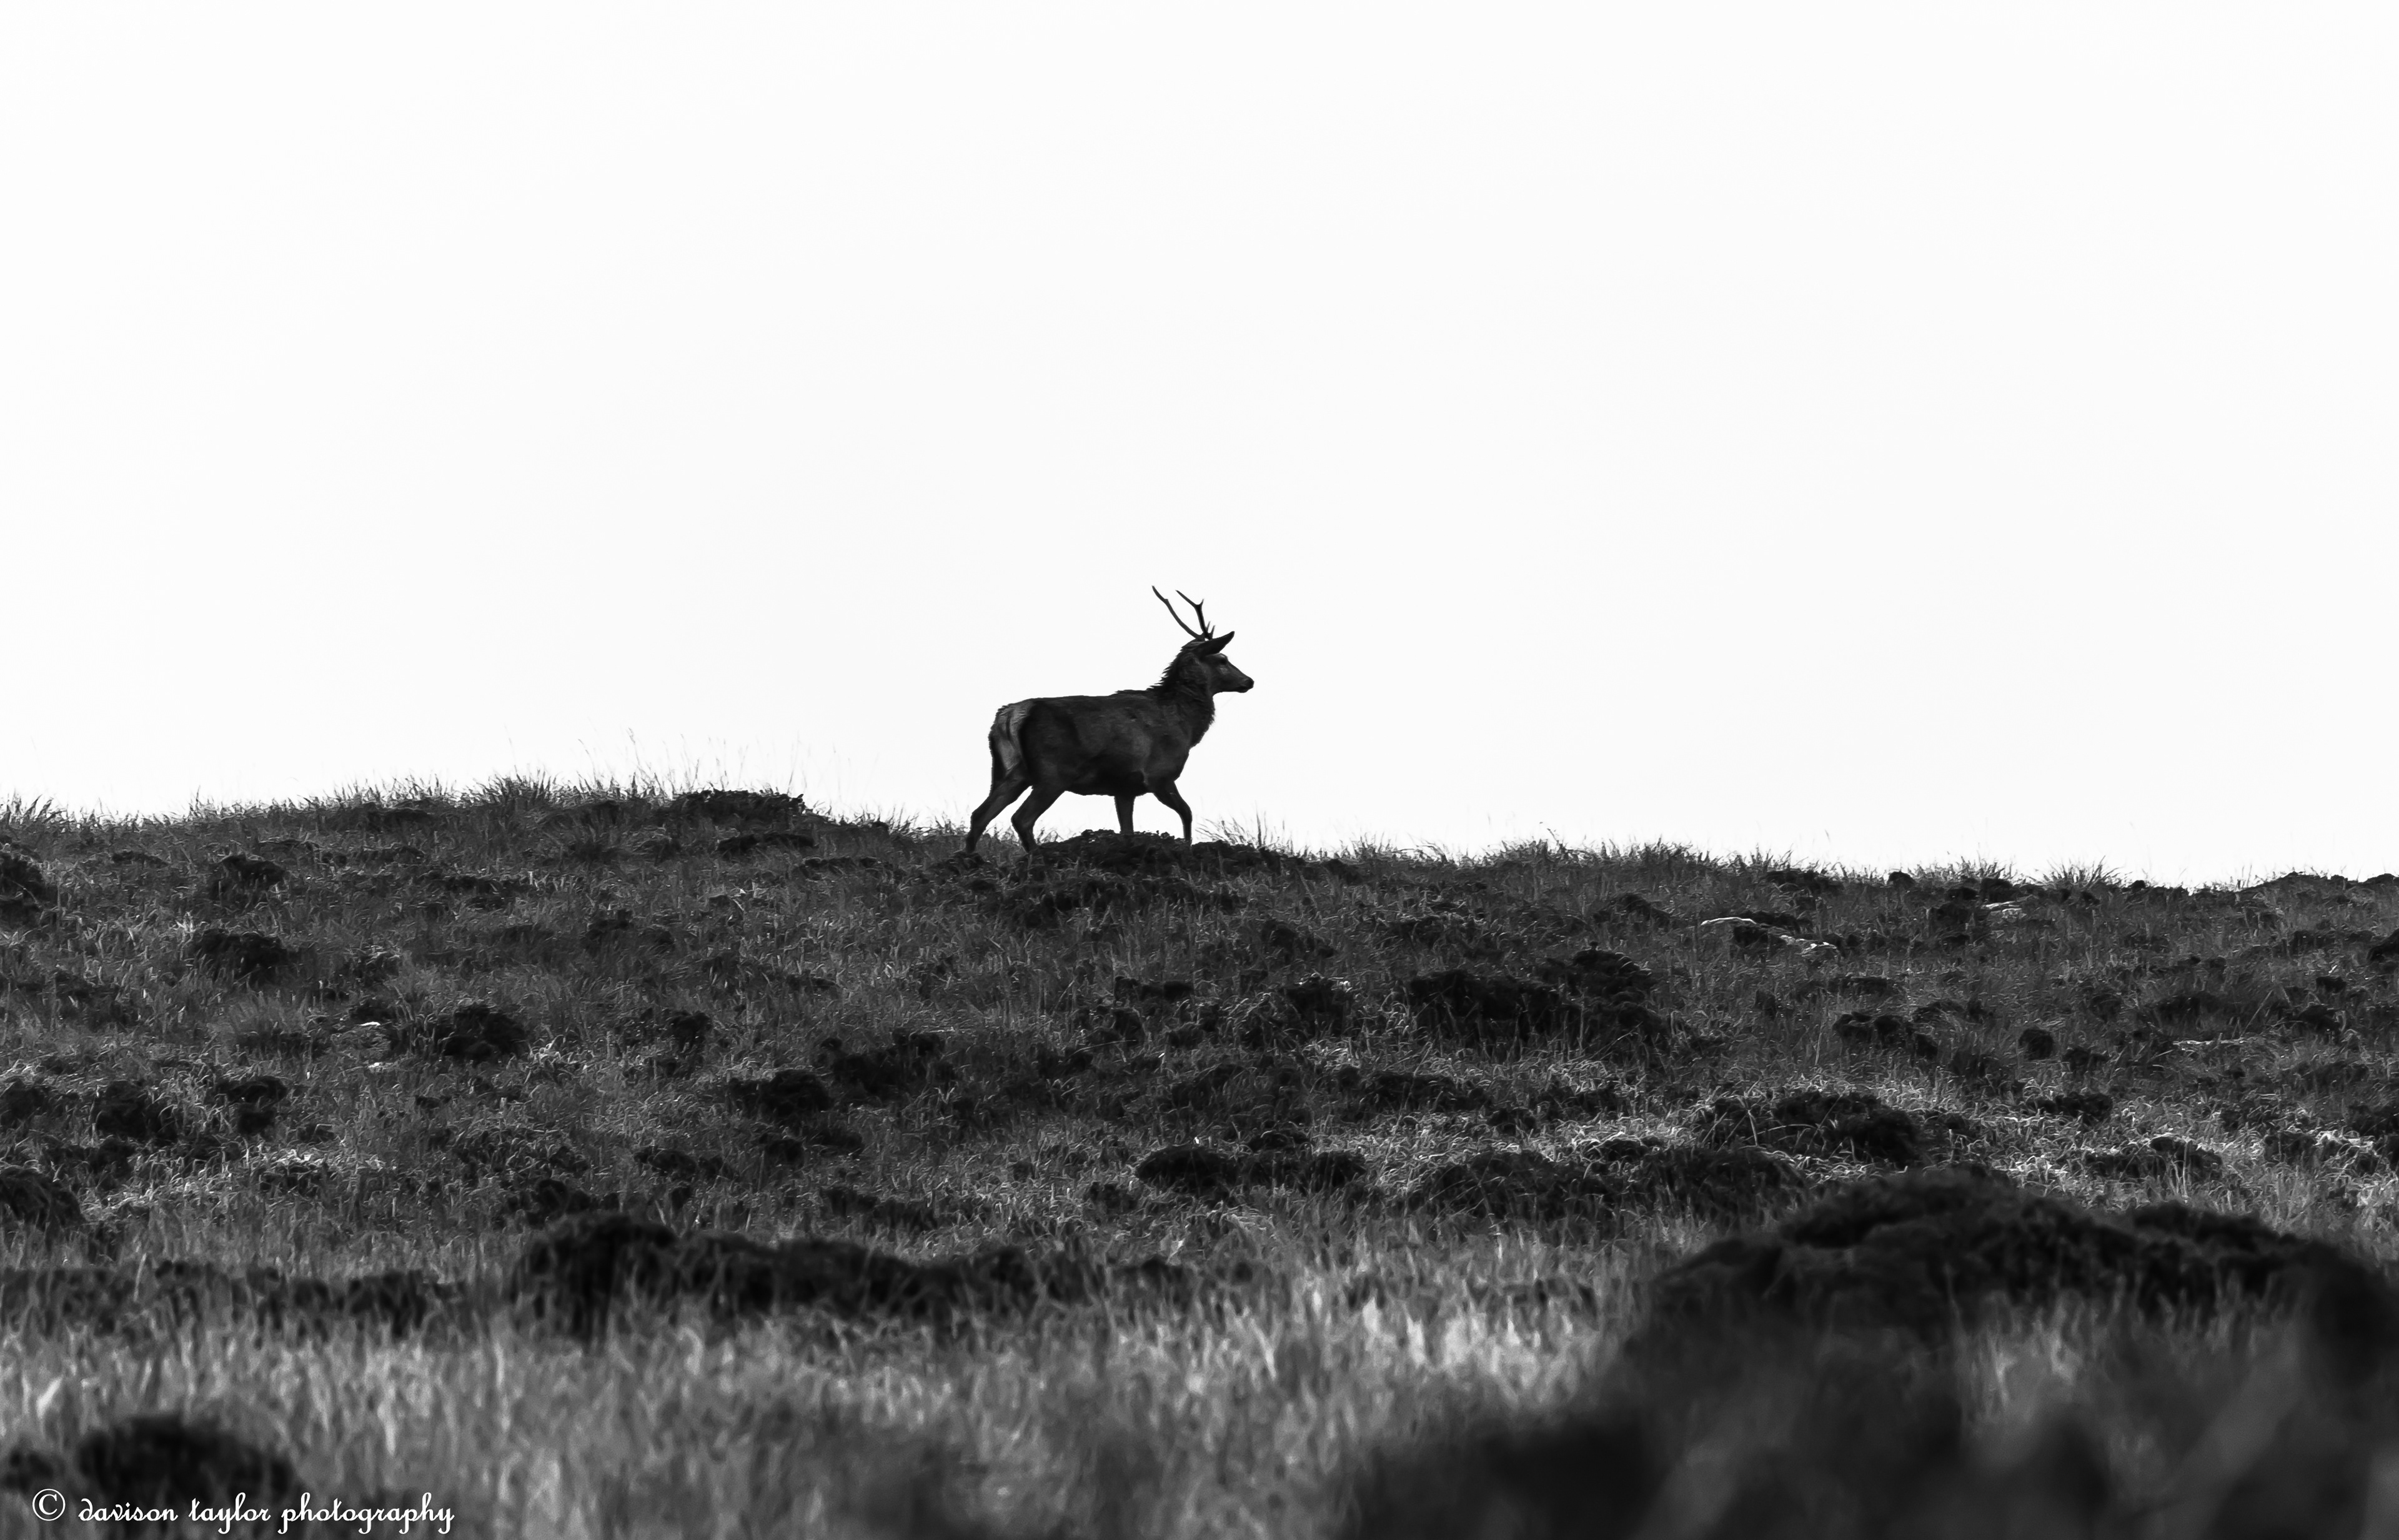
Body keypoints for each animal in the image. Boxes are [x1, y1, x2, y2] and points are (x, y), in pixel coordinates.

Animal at [964, 589, 1255, 857]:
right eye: (1223, 660)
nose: (1249, 681)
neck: (1186, 727)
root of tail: (1012, 715)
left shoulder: (1125, 787)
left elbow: (1128, 830)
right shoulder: (1159, 774)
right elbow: (1187, 813)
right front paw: (1186, 850)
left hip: (1010, 772)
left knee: (980, 814)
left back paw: (969, 861)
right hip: (1053, 773)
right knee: (1021, 818)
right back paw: (1035, 860)